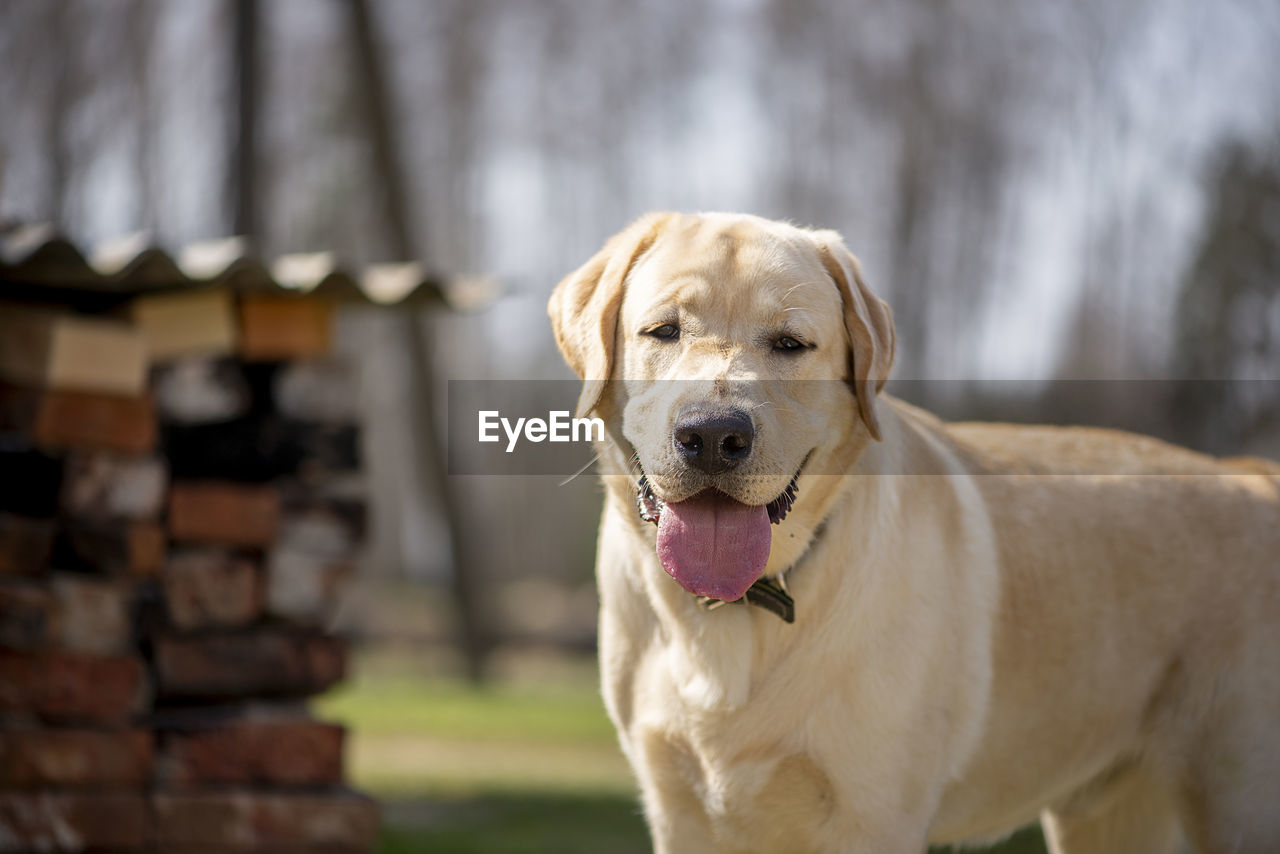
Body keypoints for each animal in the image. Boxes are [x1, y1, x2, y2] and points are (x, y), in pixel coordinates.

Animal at [545, 212, 1274, 854]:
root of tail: (1252, 475)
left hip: (1236, 801)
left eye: (790, 344)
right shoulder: (682, 815)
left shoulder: (874, 815)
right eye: (663, 331)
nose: (713, 436)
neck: (740, 609)